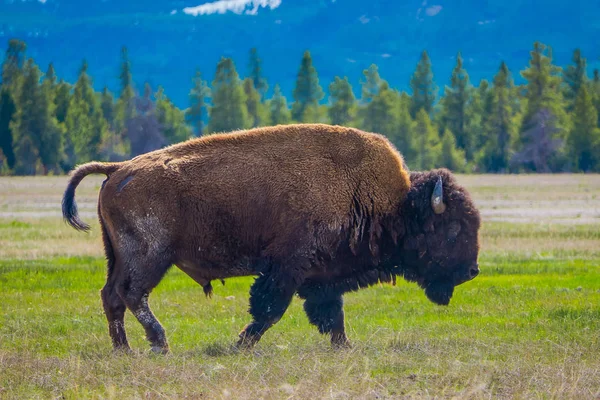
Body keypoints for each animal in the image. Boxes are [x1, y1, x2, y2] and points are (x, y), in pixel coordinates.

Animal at [62, 123, 482, 352]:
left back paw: (125, 350)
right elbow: (270, 309)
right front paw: (239, 344)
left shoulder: (323, 277)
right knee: (133, 294)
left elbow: (331, 314)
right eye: (453, 228)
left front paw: (344, 346)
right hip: (150, 257)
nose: (473, 271)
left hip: (117, 256)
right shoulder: (288, 267)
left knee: (112, 296)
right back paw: (160, 343)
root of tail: (119, 168)